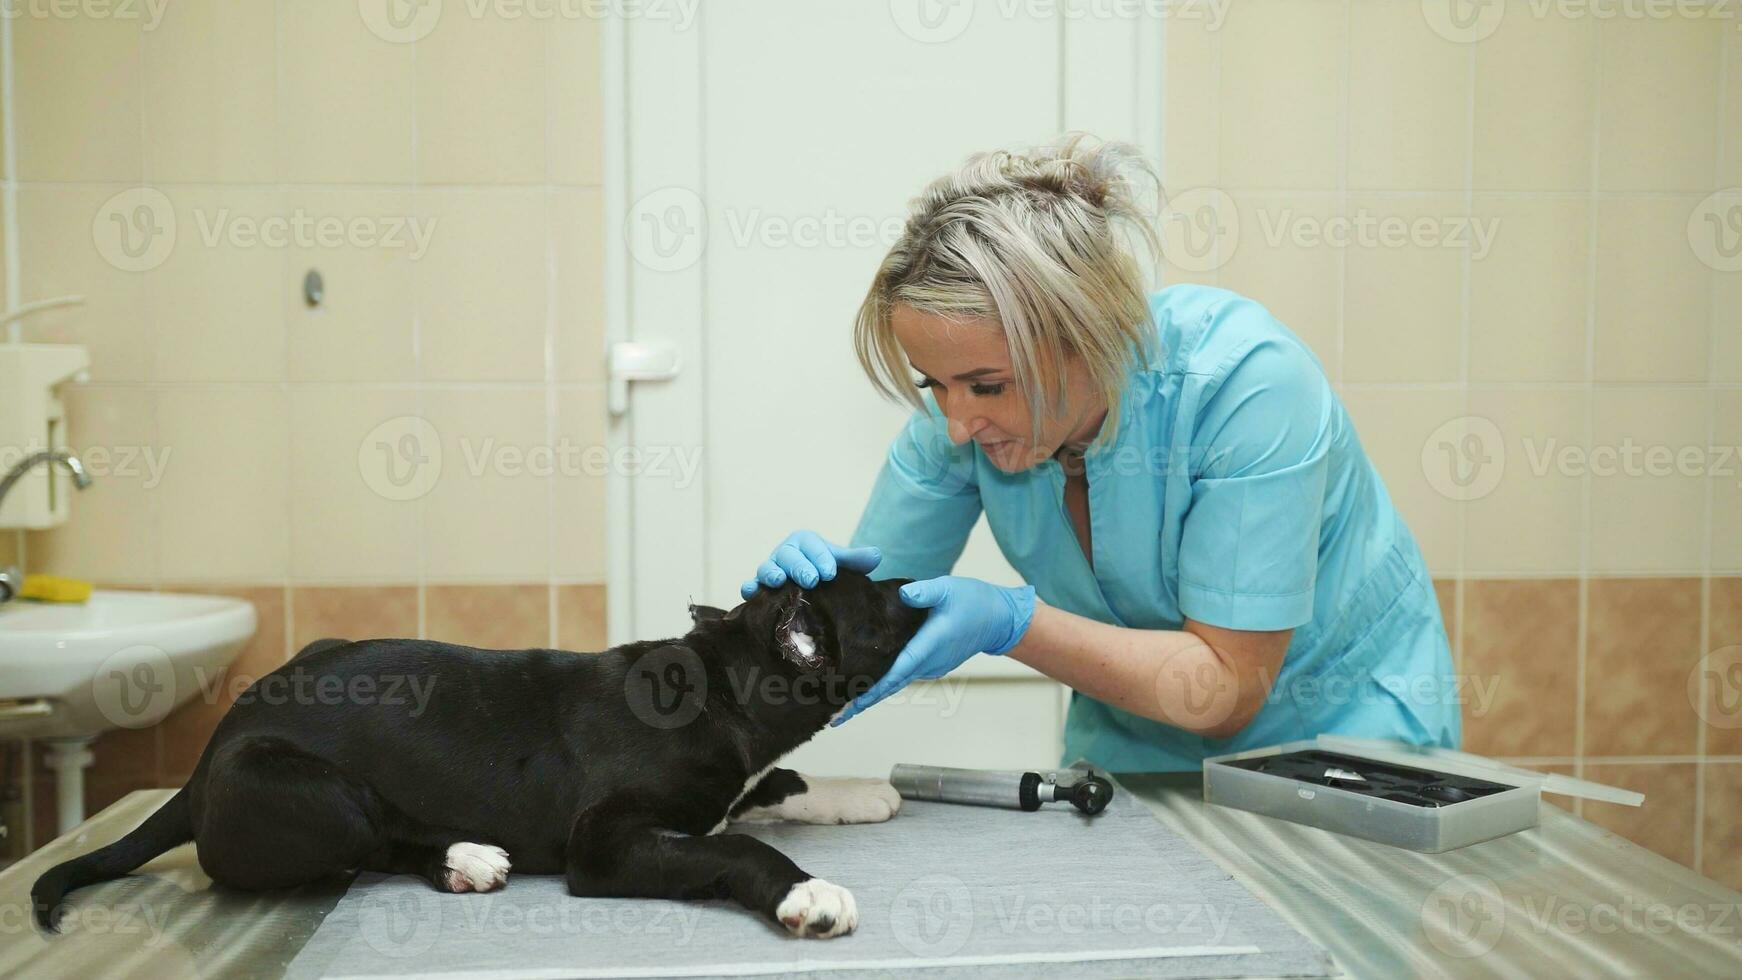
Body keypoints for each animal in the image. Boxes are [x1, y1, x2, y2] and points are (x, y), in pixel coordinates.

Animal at [30, 574, 926, 939]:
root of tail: (204, 763)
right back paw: (463, 857)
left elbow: (777, 783)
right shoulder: (603, 844)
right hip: (316, 795)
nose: (922, 584)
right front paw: (808, 893)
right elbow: (738, 845)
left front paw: (859, 790)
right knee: (373, 842)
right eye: (882, 599)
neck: (720, 685)